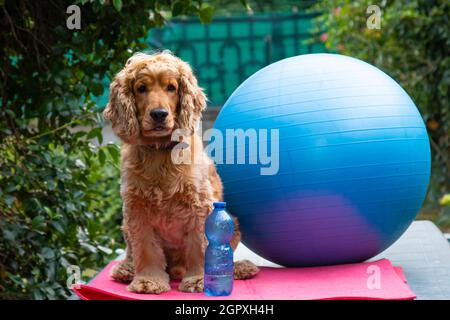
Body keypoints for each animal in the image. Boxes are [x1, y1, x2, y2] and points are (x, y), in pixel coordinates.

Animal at [101, 52, 256, 296]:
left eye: (171, 88)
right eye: (141, 88)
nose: (159, 114)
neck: (160, 153)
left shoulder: (198, 206)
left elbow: (201, 244)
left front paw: (199, 279)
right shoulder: (137, 209)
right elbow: (145, 248)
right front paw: (148, 281)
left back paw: (240, 268)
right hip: (126, 224)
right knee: (131, 251)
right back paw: (126, 269)